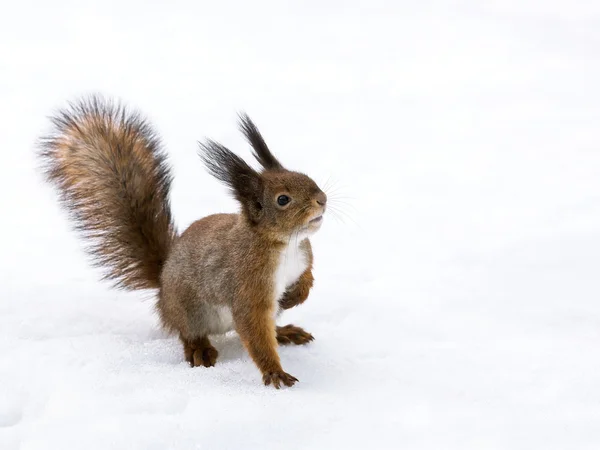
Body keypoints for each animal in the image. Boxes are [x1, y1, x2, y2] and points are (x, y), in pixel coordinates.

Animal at [37, 96, 328, 388]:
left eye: (304, 175)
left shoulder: (305, 257)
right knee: (190, 333)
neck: (286, 244)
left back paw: (284, 331)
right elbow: (253, 328)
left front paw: (295, 295)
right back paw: (200, 349)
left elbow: (307, 278)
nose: (322, 199)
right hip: (191, 311)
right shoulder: (247, 284)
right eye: (283, 200)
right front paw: (274, 372)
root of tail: (163, 287)